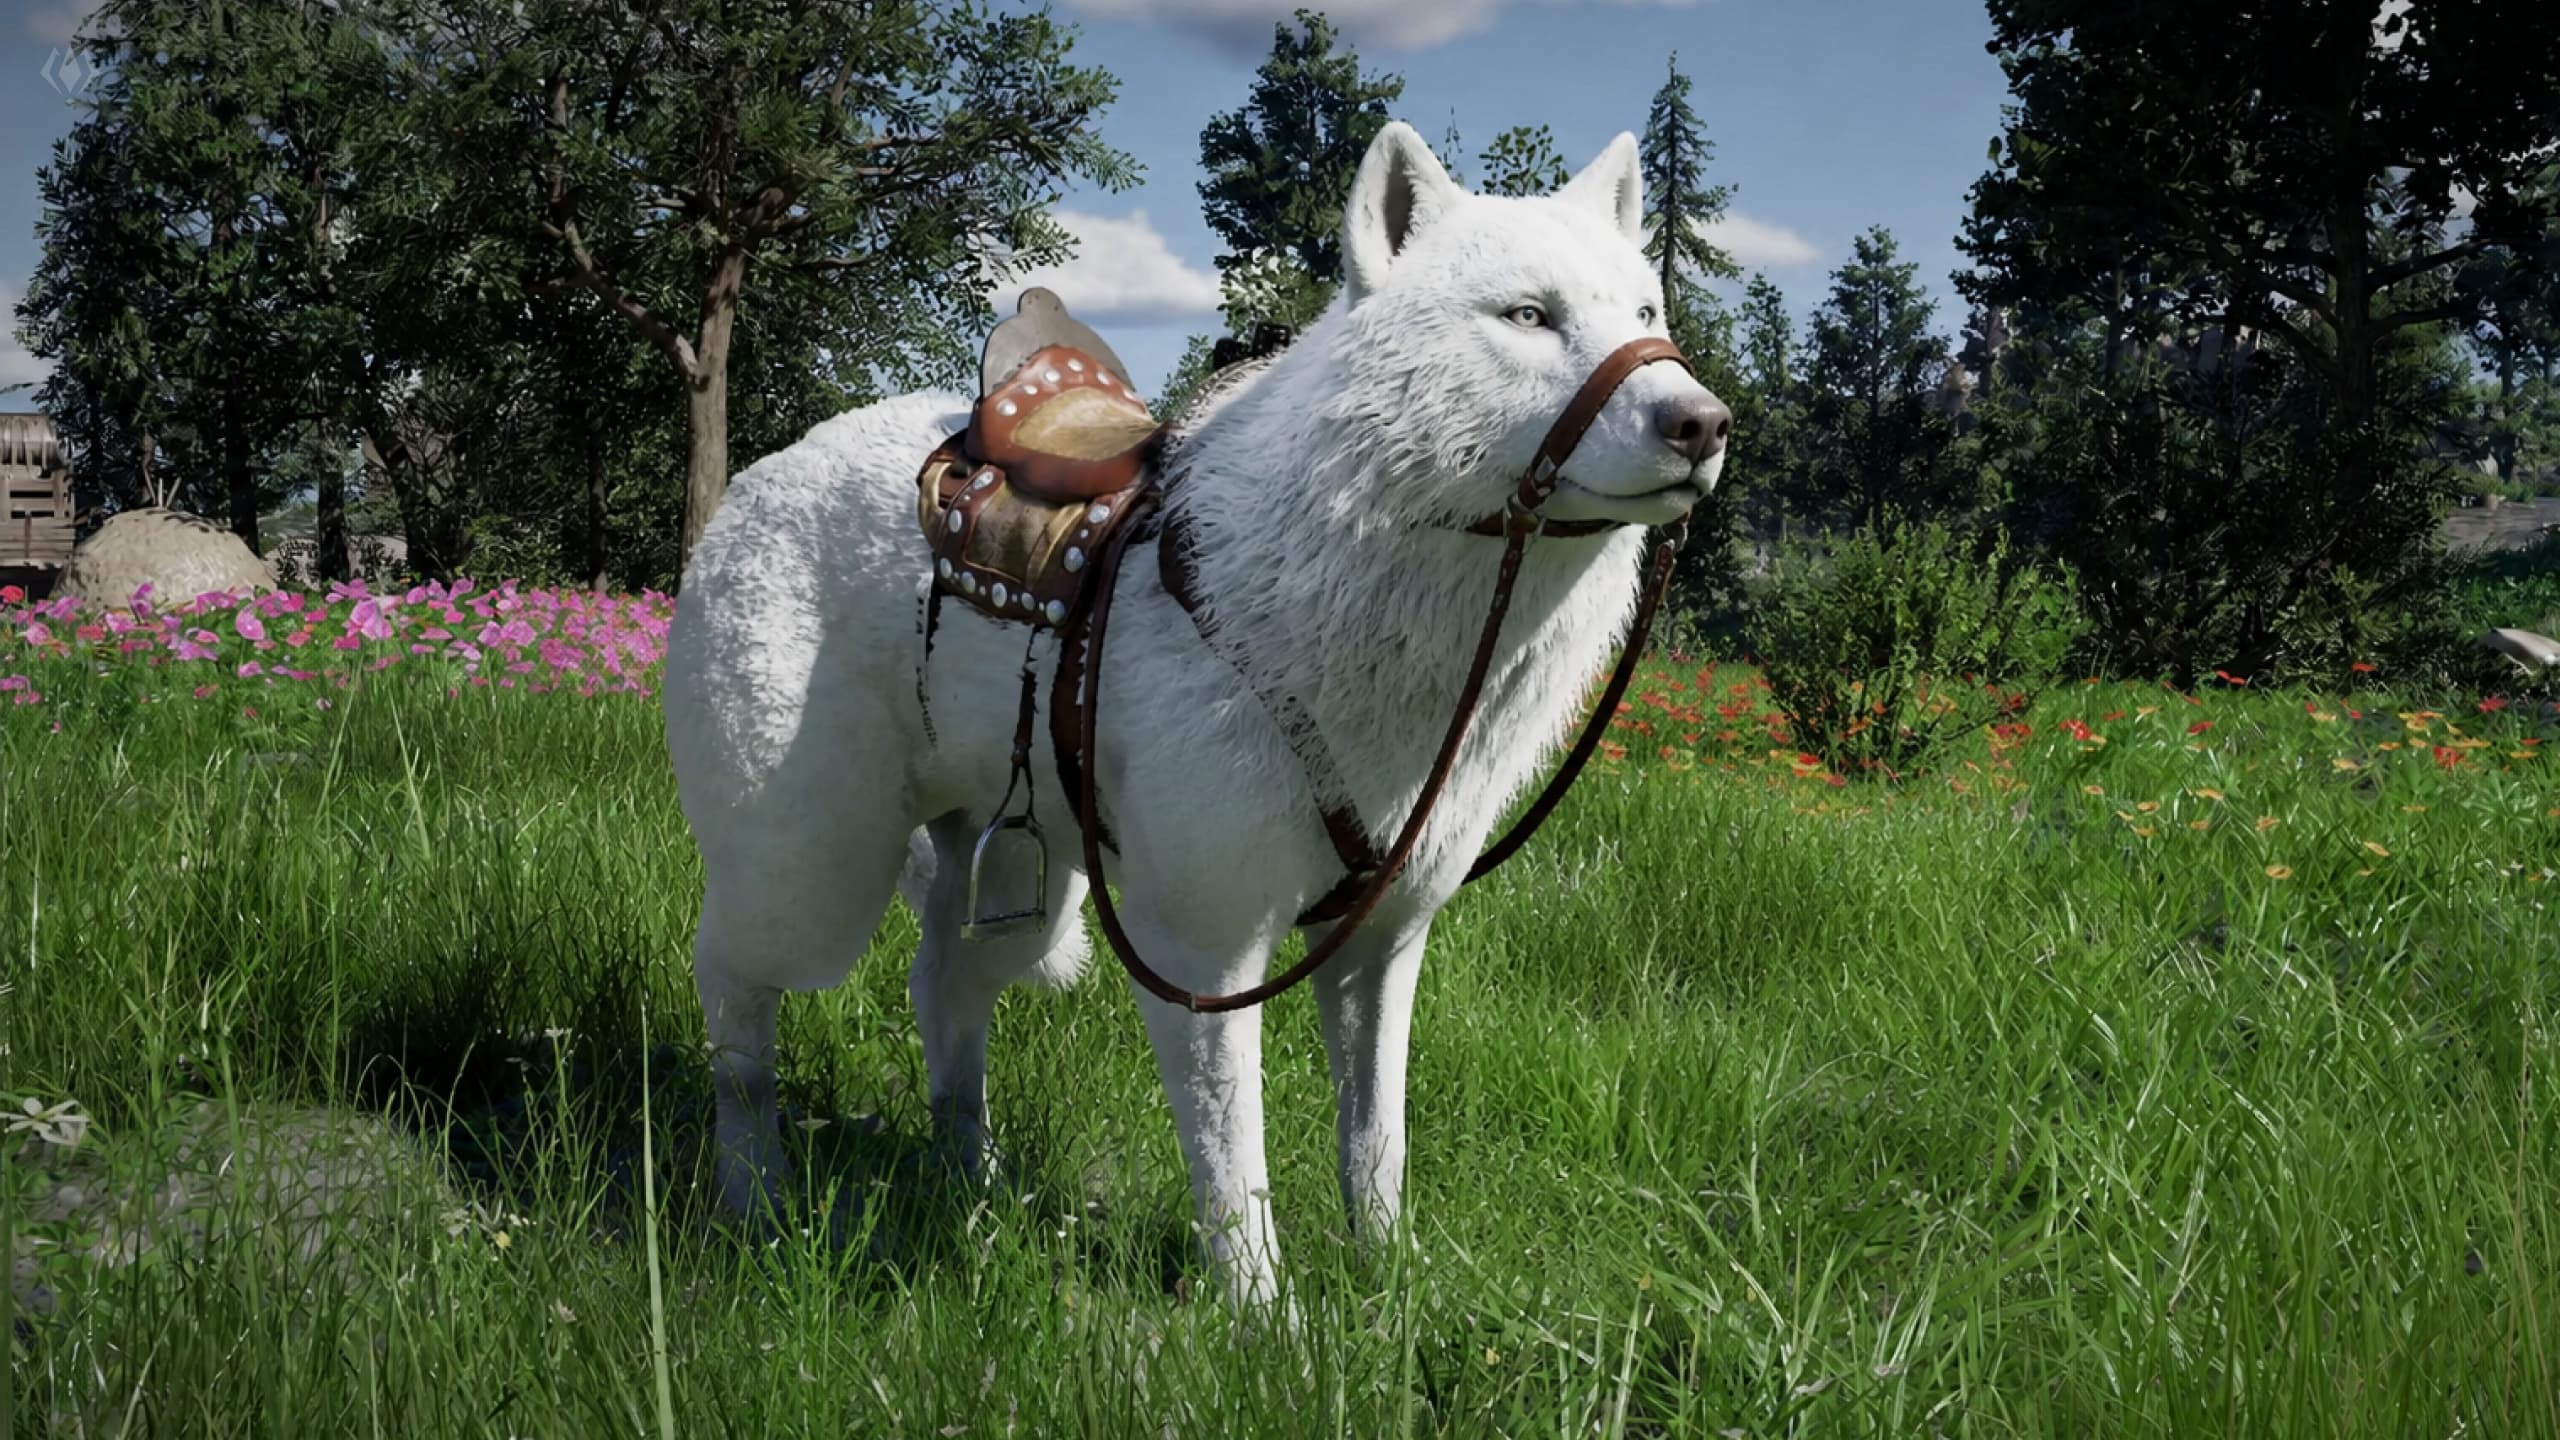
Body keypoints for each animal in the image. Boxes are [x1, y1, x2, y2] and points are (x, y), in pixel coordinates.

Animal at [661, 120, 1732, 1309]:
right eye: (1528, 317)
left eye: (1646, 316)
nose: (1703, 423)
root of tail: (766, 471)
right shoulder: (1203, 955)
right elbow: (1235, 1168)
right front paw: (1267, 1323)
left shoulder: (1377, 952)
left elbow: (1376, 1145)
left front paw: (1391, 1292)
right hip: (810, 880)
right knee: (734, 1001)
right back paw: (755, 1197)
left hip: (1017, 894)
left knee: (939, 991)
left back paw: (973, 1191)